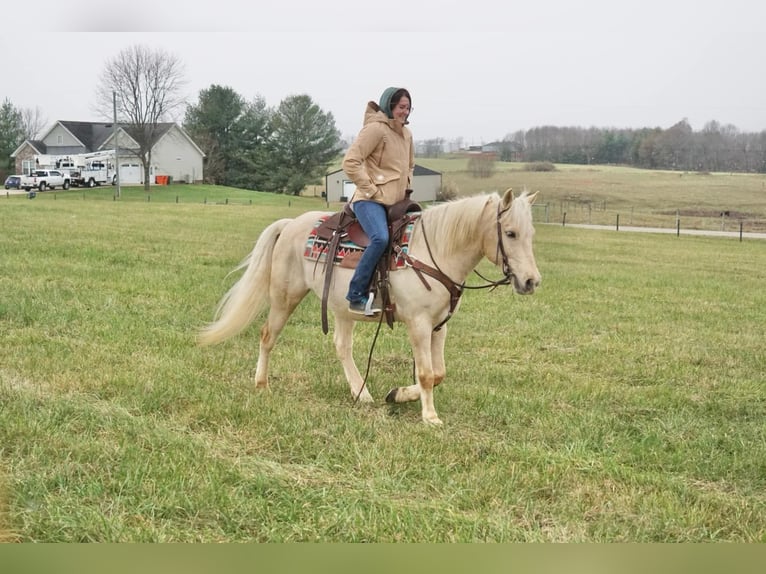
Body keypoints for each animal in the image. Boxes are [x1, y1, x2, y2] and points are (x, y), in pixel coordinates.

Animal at [199, 188, 541, 425]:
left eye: (531, 234)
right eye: (510, 233)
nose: (531, 281)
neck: (433, 252)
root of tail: (292, 223)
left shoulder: (439, 325)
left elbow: (439, 373)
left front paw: (397, 395)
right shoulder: (418, 323)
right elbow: (427, 373)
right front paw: (430, 417)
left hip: (341, 307)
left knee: (342, 347)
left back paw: (361, 393)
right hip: (286, 296)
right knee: (268, 335)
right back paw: (262, 383)